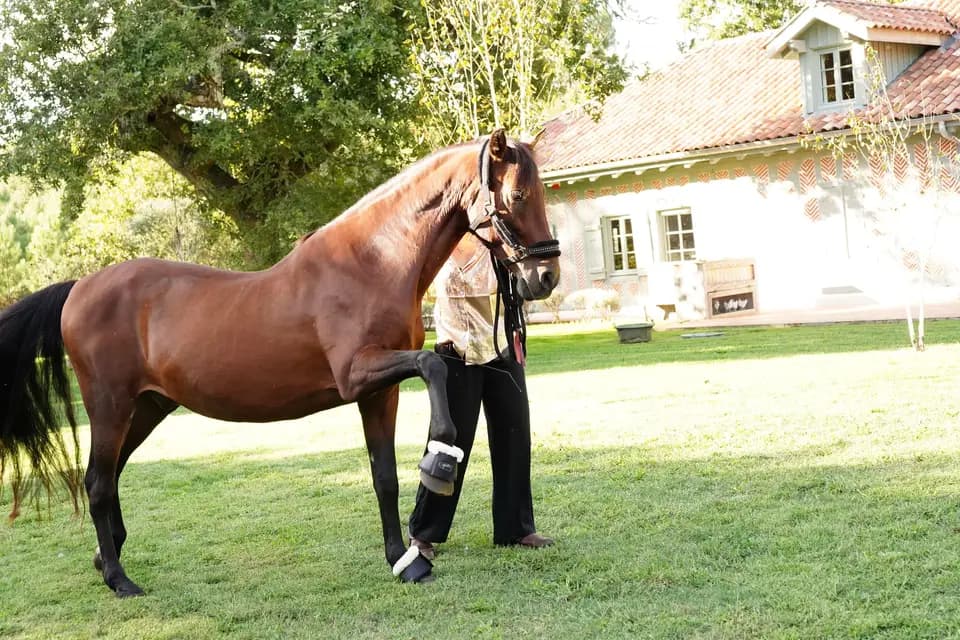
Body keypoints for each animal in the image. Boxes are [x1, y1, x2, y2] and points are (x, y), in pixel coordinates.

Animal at [0, 129, 561, 596]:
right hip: (110, 406)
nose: (546, 276)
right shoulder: (358, 374)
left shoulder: (379, 392)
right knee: (97, 482)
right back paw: (120, 579)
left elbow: (384, 476)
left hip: (146, 408)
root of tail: (80, 287)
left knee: (108, 476)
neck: (370, 263)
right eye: (517, 196)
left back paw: (106, 556)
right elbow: (434, 365)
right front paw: (440, 462)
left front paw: (404, 561)